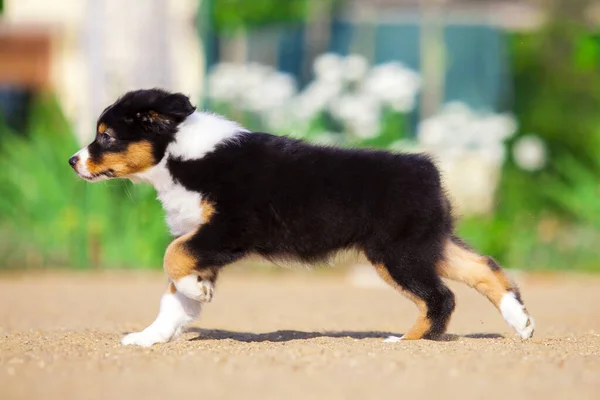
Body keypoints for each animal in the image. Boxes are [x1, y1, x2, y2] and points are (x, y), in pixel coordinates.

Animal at [69, 89, 536, 346]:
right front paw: (150, 336)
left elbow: (173, 257)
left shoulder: (229, 229)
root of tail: (426, 169)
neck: (181, 154)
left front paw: (196, 291)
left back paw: (406, 340)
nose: (73, 161)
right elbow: (173, 297)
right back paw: (521, 322)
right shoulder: (204, 239)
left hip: (397, 253)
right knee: (482, 268)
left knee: (441, 296)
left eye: (106, 137)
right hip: (427, 243)